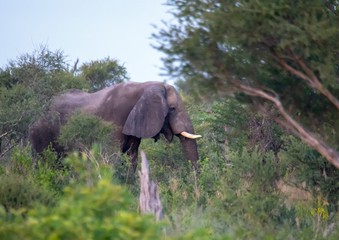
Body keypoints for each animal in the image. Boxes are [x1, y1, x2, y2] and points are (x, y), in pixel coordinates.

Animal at [29, 81, 202, 172]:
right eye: (172, 109)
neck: (146, 85)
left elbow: (132, 157)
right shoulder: (114, 121)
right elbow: (110, 158)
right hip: (41, 135)